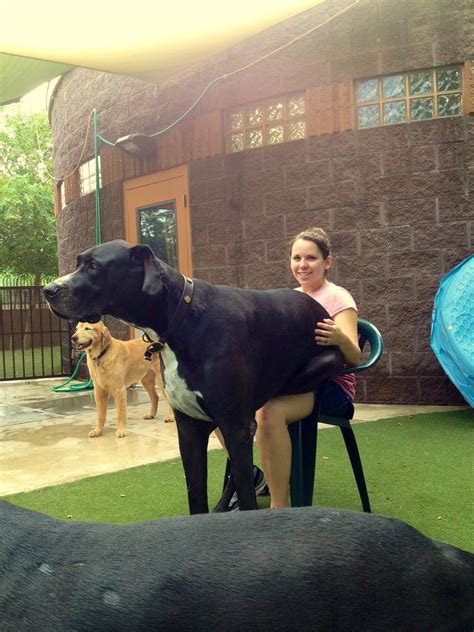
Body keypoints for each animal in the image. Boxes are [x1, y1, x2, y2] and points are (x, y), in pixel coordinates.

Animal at [43, 241, 340, 512]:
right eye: (79, 262)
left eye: (94, 267)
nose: (48, 290)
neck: (180, 319)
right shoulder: (189, 430)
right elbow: (196, 495)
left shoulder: (236, 426)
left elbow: (246, 495)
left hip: (321, 363)